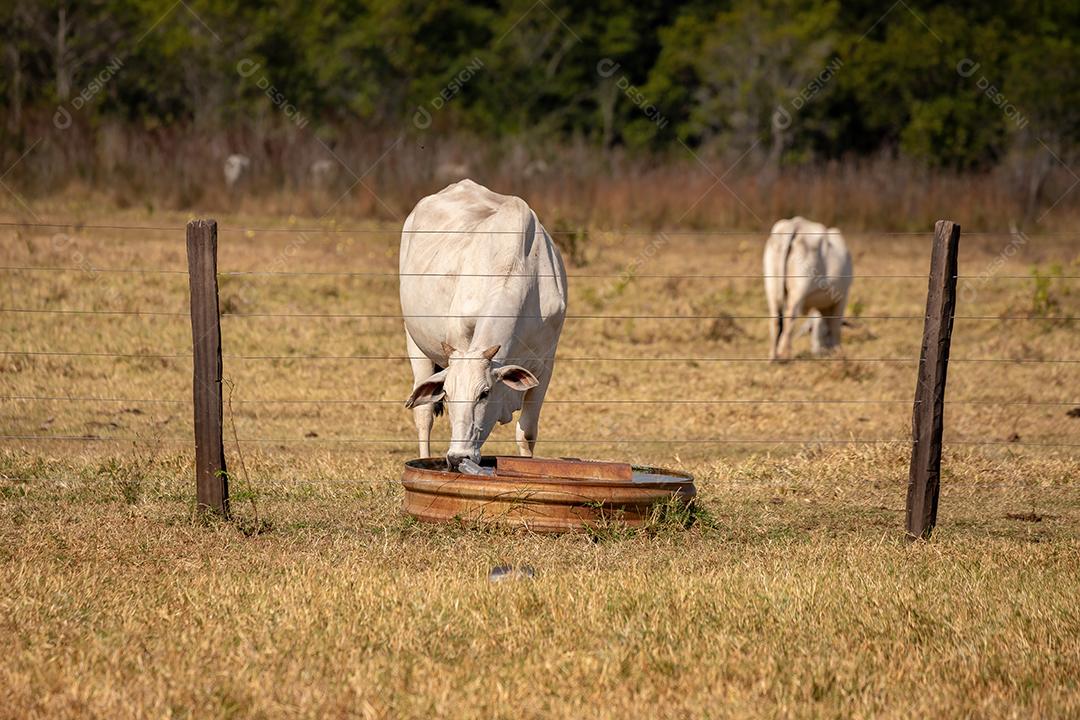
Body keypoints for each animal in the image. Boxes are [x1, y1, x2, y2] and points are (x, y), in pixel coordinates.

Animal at [400, 179, 568, 469]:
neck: (514, 271)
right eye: (448, 393)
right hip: (415, 344)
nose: (458, 457)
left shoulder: (546, 364)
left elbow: (527, 433)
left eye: (484, 393)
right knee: (424, 415)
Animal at [763, 217, 853, 361]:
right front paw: (839, 352)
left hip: (771, 287)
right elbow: (835, 327)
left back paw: (773, 356)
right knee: (789, 317)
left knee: (775, 319)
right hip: (799, 290)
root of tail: (796, 224)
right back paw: (784, 353)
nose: (818, 351)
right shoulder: (842, 297)